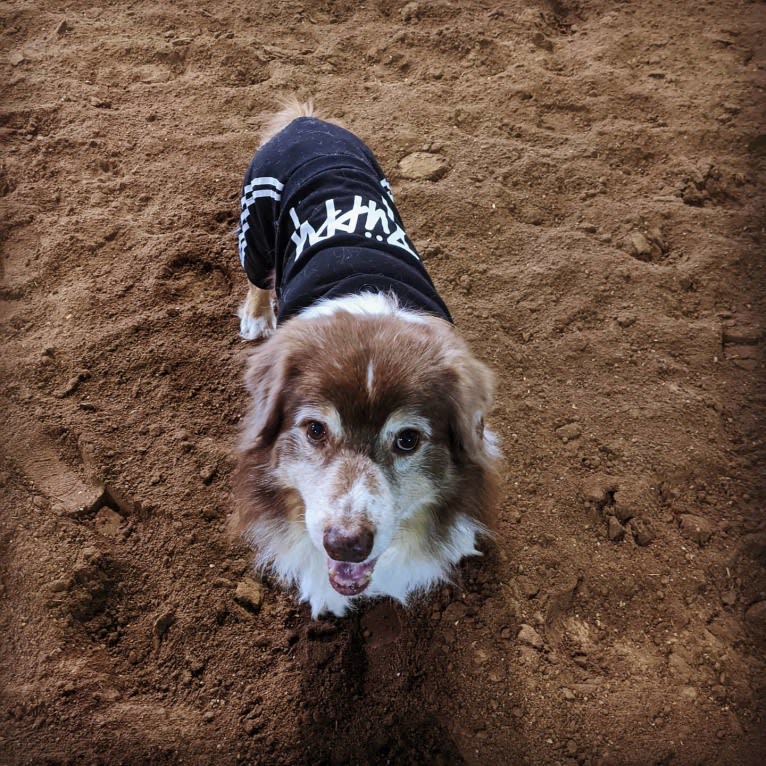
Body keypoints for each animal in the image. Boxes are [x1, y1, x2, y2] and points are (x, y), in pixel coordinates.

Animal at [231, 100, 500, 616]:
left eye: (408, 440)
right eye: (315, 430)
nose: (346, 544)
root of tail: (306, 121)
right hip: (255, 230)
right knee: (256, 274)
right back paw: (256, 316)